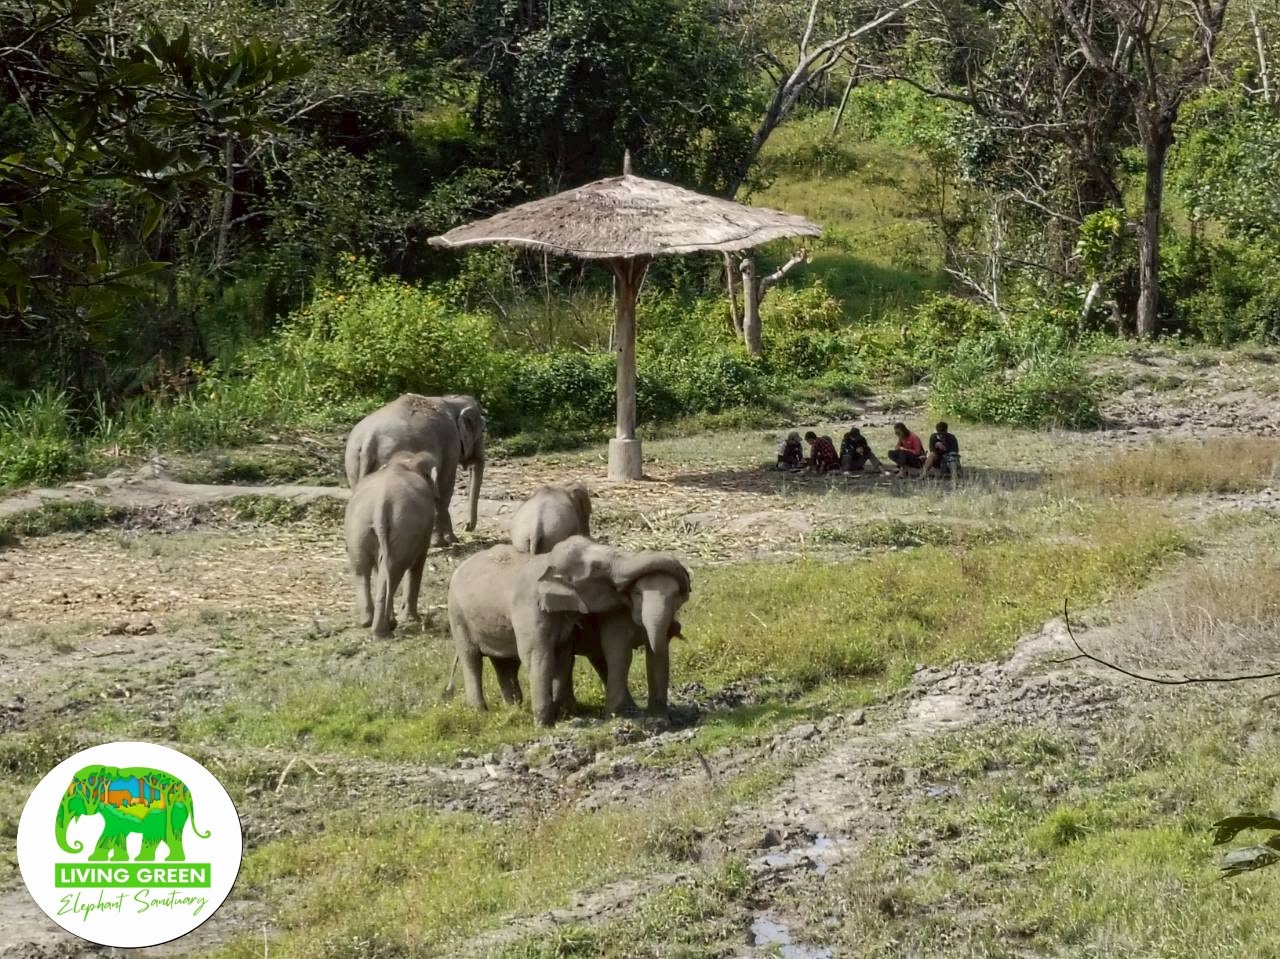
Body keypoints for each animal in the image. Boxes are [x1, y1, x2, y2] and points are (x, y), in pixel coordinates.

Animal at [55, 764, 209, 863]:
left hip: (167, 813)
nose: (78, 845)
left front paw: (94, 859)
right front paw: (118, 860)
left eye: (73, 795)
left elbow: (111, 831)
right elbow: (119, 833)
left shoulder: (115, 810)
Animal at [344, 394, 485, 545]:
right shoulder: (451, 445)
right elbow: (445, 488)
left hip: (352, 460)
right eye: (484, 431)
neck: (452, 400)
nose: (466, 526)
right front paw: (449, 541)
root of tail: (369, 439)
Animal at [344, 450, 437, 636]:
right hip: (403, 528)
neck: (401, 464)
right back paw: (384, 630)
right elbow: (419, 563)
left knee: (362, 568)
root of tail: (382, 502)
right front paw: (412, 619)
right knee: (394, 570)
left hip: (358, 528)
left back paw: (368, 622)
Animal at [445, 535, 689, 726]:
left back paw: (516, 710)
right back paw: (481, 713)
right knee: (472, 659)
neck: (546, 562)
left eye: (676, 596)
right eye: (598, 569)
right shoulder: (529, 608)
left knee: (506, 664)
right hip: (457, 617)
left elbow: (563, 655)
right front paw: (545, 724)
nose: (686, 580)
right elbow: (538, 655)